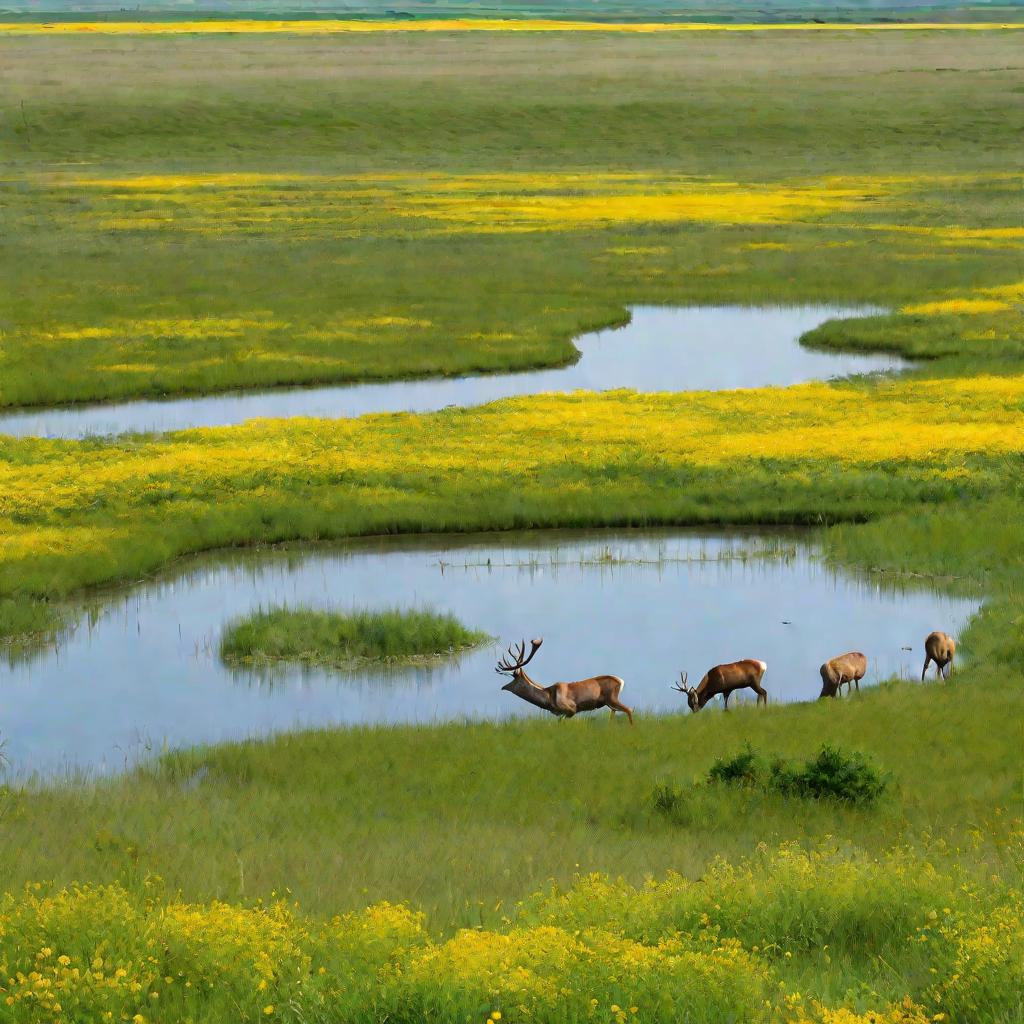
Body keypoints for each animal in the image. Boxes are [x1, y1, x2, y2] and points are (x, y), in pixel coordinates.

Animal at [495, 634, 630, 724]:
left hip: (612, 698)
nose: (503, 687)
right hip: (610, 703)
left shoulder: (571, 709)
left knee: (628, 710)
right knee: (614, 714)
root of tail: (621, 681)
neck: (548, 699)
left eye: (514, 679)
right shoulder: (561, 713)